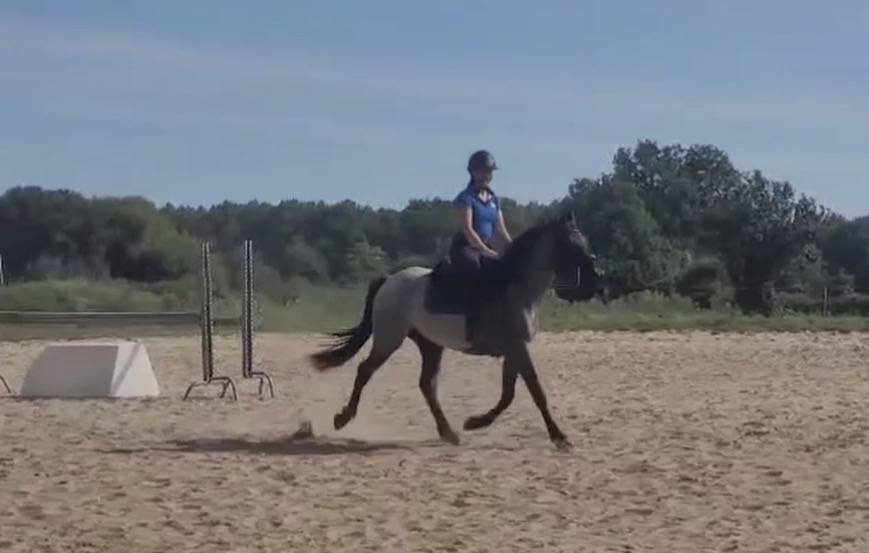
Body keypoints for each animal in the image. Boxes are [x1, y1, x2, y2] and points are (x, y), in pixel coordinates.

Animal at [308, 212, 605, 451]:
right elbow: (535, 391)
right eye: (572, 244)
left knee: (426, 384)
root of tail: (390, 279)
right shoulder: (516, 347)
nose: (597, 278)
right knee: (365, 371)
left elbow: (508, 394)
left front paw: (475, 422)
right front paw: (559, 437)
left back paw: (448, 432)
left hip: (430, 344)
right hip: (389, 339)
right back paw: (342, 418)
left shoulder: (514, 349)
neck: (516, 288)